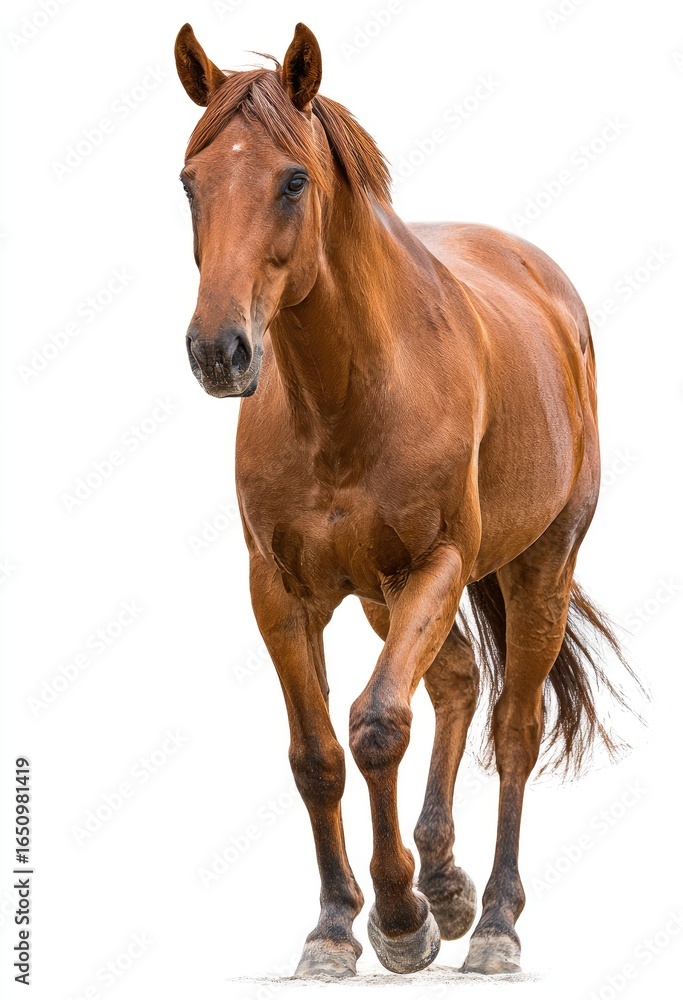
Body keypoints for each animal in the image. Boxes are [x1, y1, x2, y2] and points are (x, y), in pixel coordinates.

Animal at [174, 22, 640, 978]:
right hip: (383, 596)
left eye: (293, 180)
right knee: (457, 681)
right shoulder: (281, 590)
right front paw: (333, 927)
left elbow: (378, 726)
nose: (218, 351)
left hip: (536, 568)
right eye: (189, 181)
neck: (347, 395)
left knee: (513, 727)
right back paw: (448, 878)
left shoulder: (437, 563)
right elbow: (316, 752)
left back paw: (493, 918)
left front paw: (397, 919)